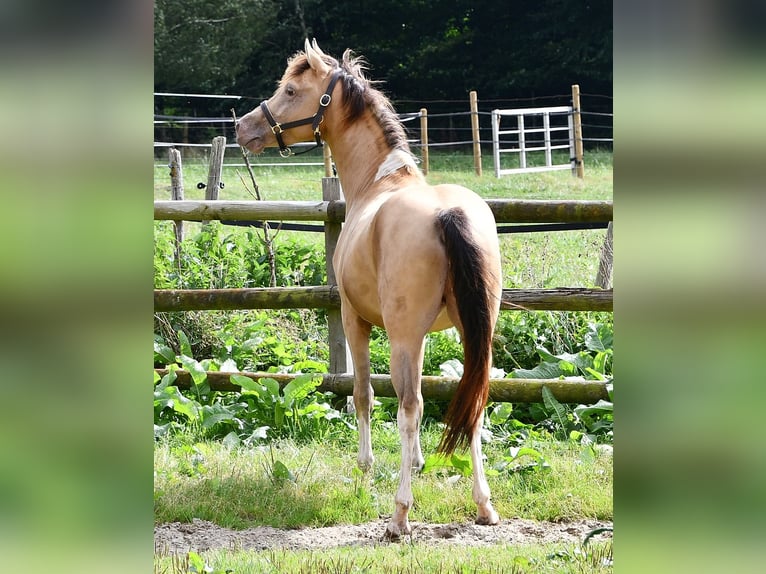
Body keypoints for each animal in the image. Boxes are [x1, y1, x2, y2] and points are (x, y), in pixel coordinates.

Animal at [238, 39, 504, 540]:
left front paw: (364, 465)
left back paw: (399, 515)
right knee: (473, 402)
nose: (243, 127)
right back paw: (483, 505)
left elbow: (363, 393)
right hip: (472, 334)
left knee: (409, 409)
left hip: (400, 335)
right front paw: (418, 463)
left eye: (290, 90)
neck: (379, 182)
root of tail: (448, 215)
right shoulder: (421, 337)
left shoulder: (354, 319)